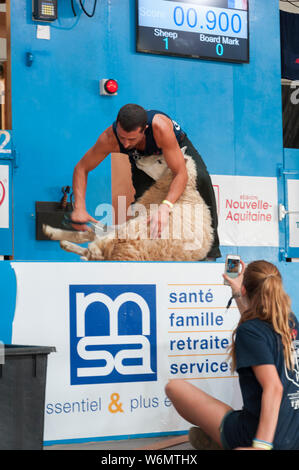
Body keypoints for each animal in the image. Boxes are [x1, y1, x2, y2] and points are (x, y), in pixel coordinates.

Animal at [43, 148, 214, 260]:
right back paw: (64, 241)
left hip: (132, 228)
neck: (184, 193)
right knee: (93, 244)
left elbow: (95, 230)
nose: (138, 158)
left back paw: (57, 235)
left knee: (94, 243)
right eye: (159, 154)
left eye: (160, 161)